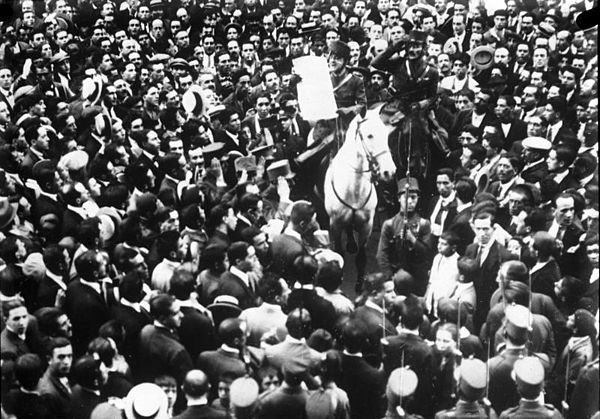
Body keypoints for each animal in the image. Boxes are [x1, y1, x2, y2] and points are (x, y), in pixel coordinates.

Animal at [326, 105, 396, 288]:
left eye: (386, 134)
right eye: (370, 135)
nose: (389, 171)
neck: (354, 188)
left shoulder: (366, 225)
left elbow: (361, 257)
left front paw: (359, 284)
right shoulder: (335, 224)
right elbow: (339, 254)